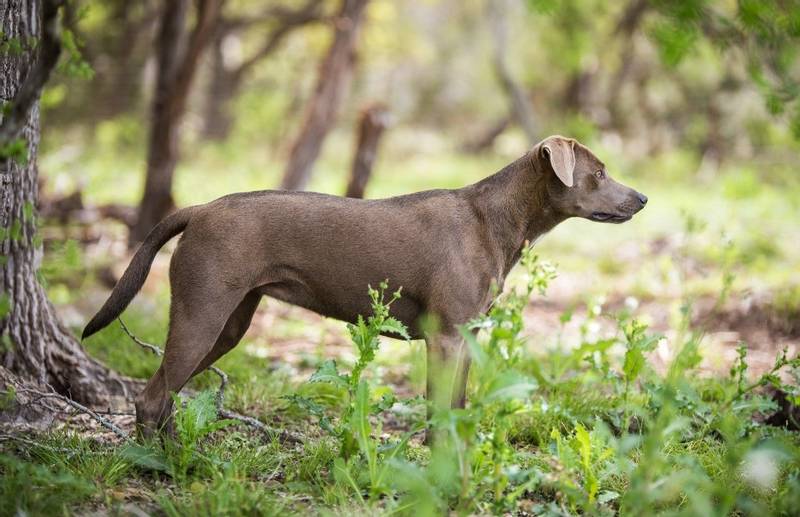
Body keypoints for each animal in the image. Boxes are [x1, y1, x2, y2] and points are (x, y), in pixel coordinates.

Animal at [81, 135, 648, 434]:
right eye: (599, 172)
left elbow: (456, 409)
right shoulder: (445, 339)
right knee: (152, 398)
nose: (642, 198)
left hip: (228, 325)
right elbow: (438, 413)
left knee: (163, 397)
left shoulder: (466, 338)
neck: (495, 220)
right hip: (202, 314)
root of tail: (198, 209)